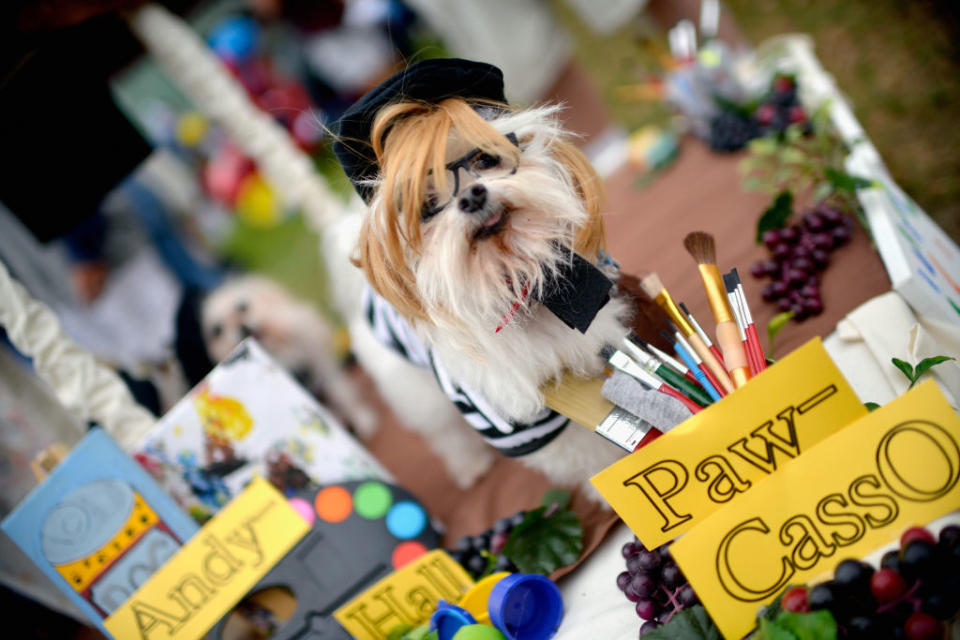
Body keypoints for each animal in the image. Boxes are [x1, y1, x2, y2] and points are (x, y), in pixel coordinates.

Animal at [334, 58, 632, 500]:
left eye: (485, 160)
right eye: (427, 205)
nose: (471, 195)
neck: (513, 279)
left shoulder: (593, 346)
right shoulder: (515, 419)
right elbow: (587, 455)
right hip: (418, 390)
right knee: (444, 434)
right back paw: (468, 466)